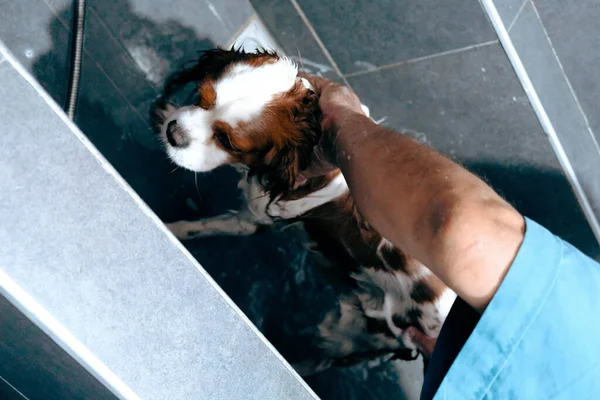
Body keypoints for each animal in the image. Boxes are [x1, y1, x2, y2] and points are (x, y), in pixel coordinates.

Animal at [152, 48, 458, 376]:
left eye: (227, 141)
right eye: (201, 96)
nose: (173, 133)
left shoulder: (254, 218)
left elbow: (202, 226)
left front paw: (170, 229)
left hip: (358, 333)